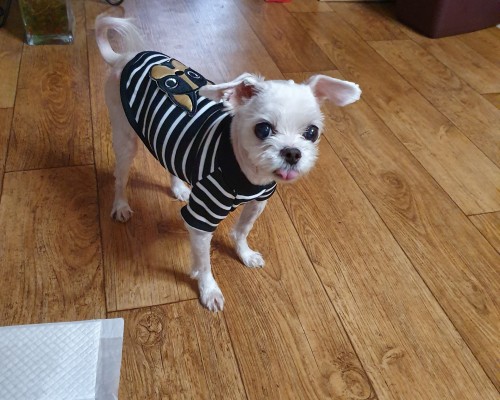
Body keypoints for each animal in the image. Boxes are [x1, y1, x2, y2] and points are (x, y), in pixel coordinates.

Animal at [95, 15, 361, 311]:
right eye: (263, 129)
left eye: (312, 132)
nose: (292, 153)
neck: (249, 175)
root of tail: (126, 57)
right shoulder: (201, 218)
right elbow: (203, 263)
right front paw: (208, 289)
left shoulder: (258, 202)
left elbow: (242, 230)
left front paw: (244, 254)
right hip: (125, 138)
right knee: (121, 177)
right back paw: (120, 206)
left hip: (164, 140)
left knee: (168, 161)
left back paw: (177, 188)